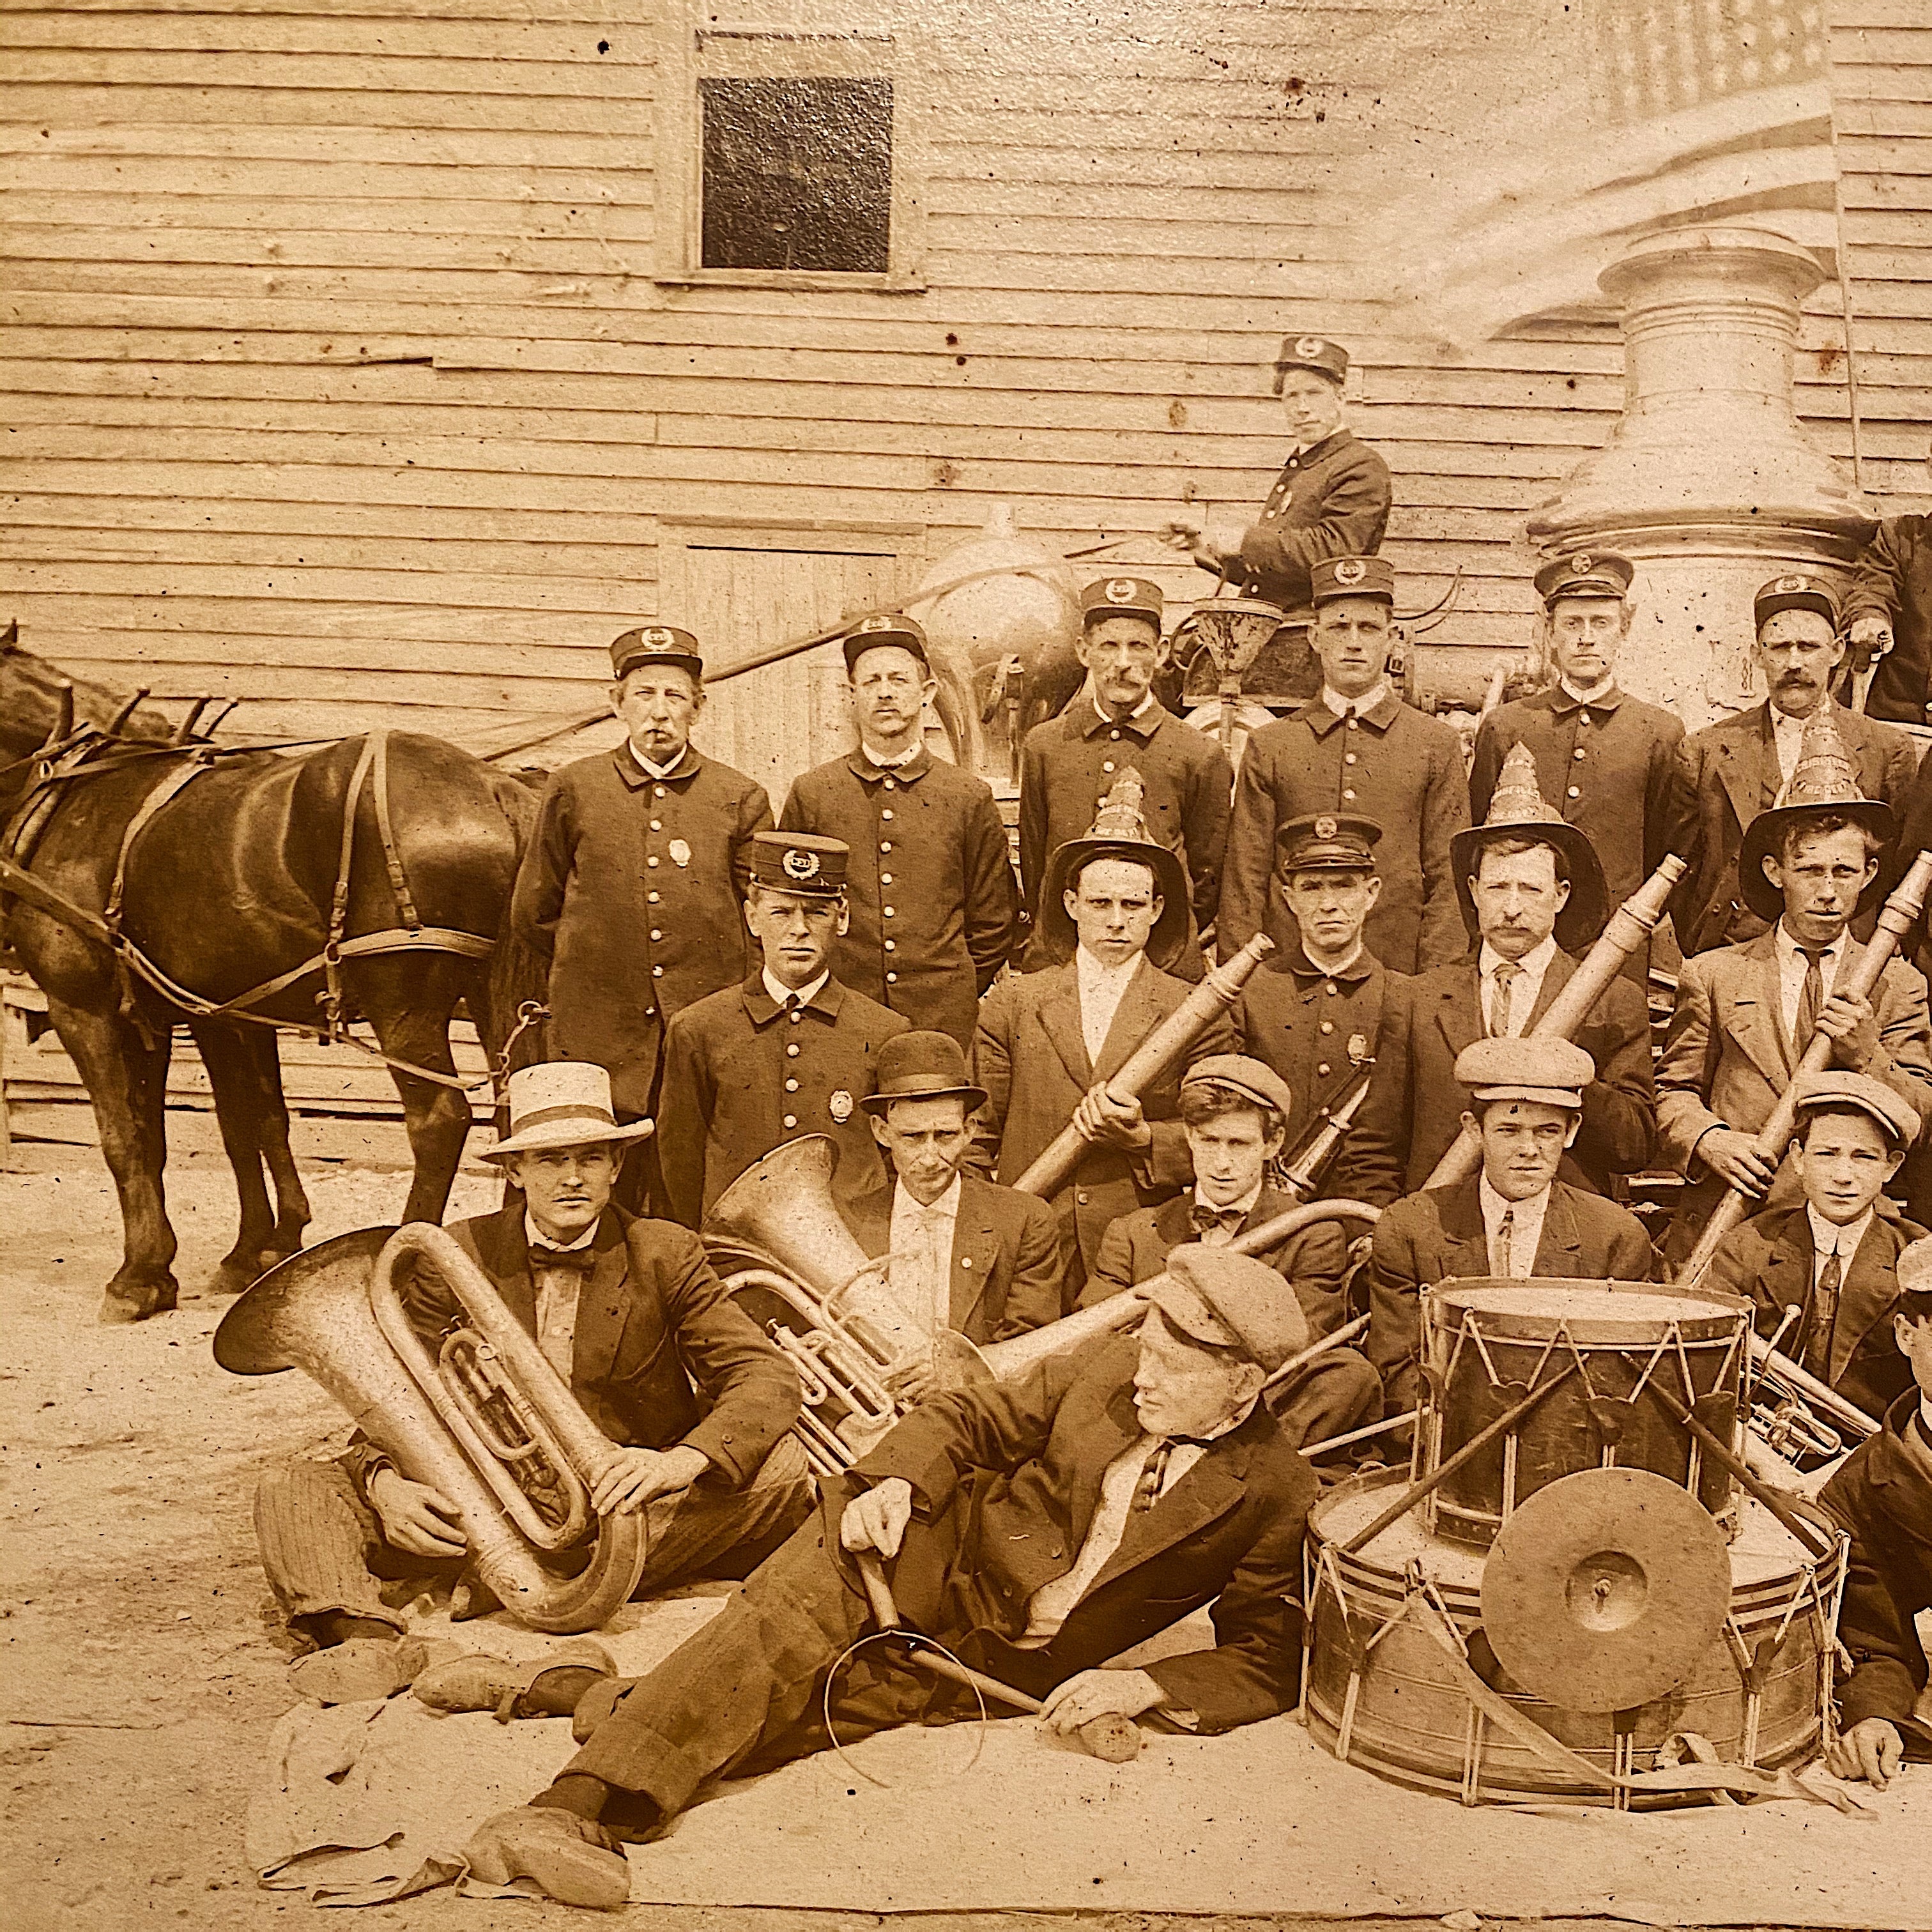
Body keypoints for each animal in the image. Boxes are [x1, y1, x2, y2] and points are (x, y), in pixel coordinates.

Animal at [1, 633, 537, 1329]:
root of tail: (493, 785)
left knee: (440, 1122)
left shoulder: (84, 1009)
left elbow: (124, 1139)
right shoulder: (202, 1015)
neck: (78, 801)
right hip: (492, 999)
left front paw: (137, 1278)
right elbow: (238, 1126)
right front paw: (252, 1250)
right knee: (518, 1111)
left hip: (405, 1004)